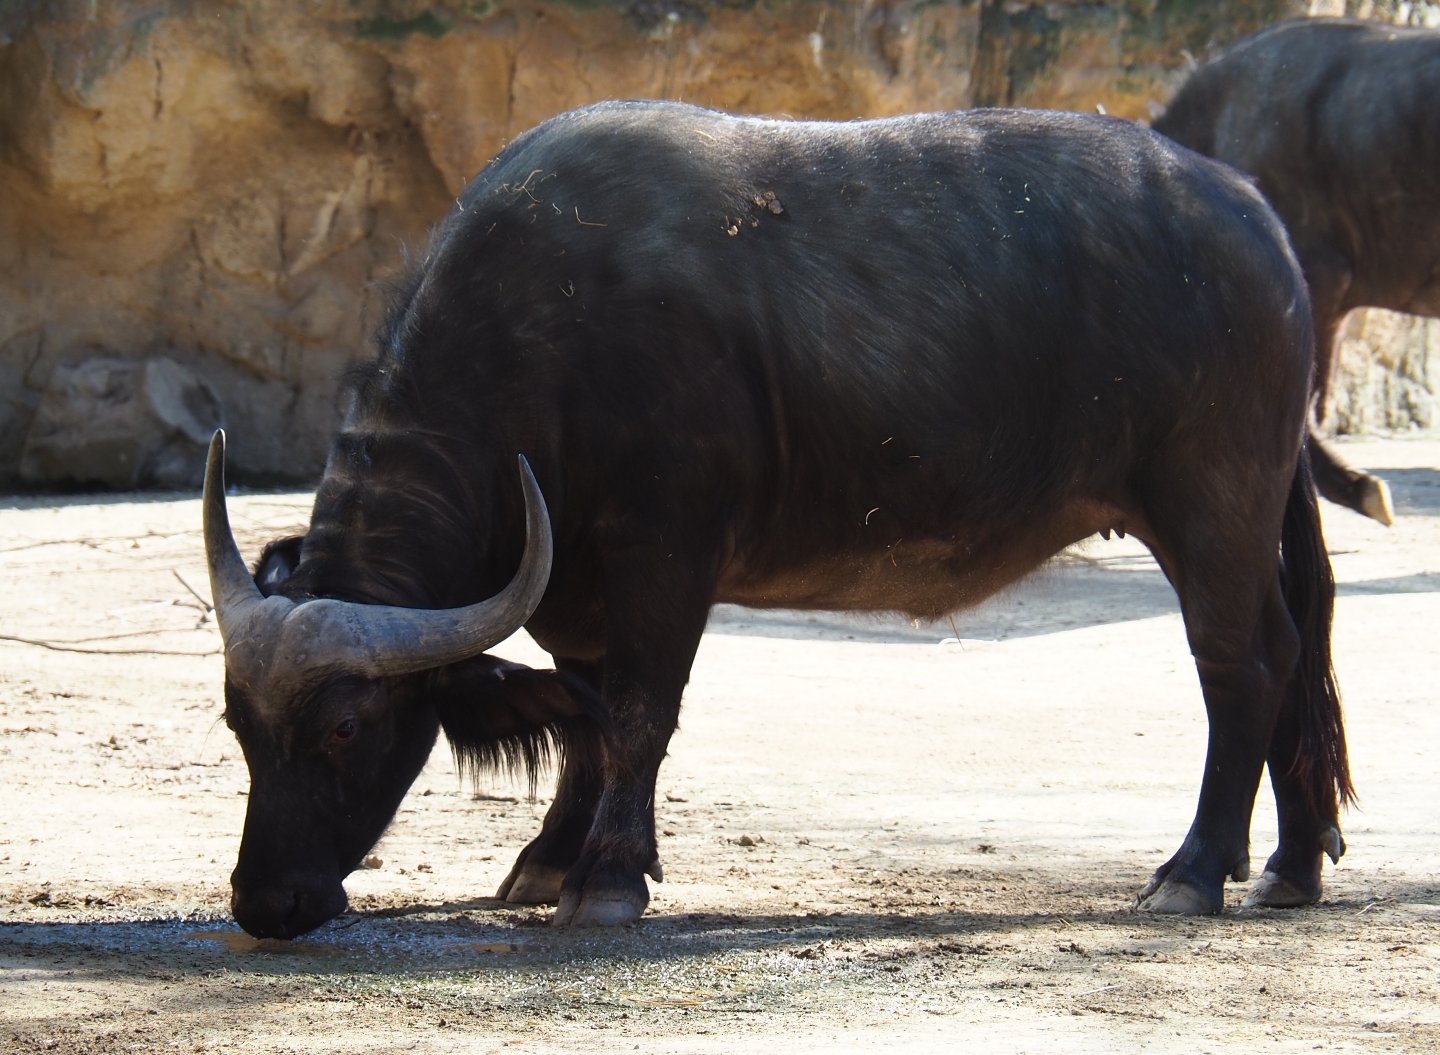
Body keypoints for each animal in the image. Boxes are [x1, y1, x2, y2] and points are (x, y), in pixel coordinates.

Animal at [207, 101, 1351, 938]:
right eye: (235, 725)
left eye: (346, 725)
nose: (265, 901)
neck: (545, 343)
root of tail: (1256, 217)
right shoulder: (573, 591)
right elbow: (583, 715)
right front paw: (551, 857)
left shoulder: (666, 551)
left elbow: (637, 712)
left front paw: (609, 876)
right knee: (1292, 648)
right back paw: (1288, 864)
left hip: (1212, 506)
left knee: (1242, 666)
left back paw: (1193, 870)